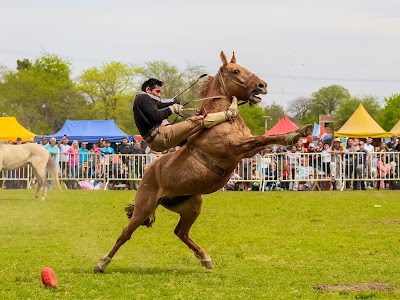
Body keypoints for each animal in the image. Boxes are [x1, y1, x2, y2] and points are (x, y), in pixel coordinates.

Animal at [94, 52, 306, 274]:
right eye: (236, 71)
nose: (262, 85)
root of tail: (149, 173)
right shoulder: (235, 147)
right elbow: (262, 139)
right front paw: (295, 133)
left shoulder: (247, 151)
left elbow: (266, 140)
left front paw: (296, 133)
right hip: (144, 206)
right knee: (125, 233)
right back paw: (101, 263)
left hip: (192, 205)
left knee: (180, 232)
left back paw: (205, 258)